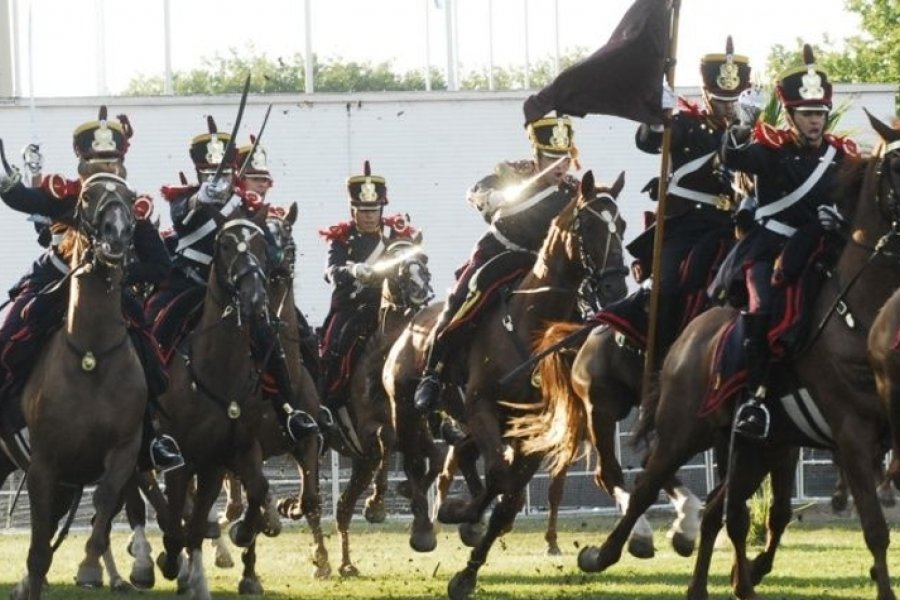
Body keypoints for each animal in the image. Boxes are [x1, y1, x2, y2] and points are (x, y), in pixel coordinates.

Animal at [153, 209, 282, 596]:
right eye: (224, 245)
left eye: (261, 244)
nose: (254, 298)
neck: (218, 367)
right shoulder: (180, 458)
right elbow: (178, 517)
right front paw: (173, 563)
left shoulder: (227, 454)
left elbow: (257, 489)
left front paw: (242, 532)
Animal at [328, 234, 434, 576]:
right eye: (397, 264)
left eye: (423, 262)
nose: (421, 289)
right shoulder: (368, 429)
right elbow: (387, 437)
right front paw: (376, 506)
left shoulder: (415, 432)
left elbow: (434, 455)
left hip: (362, 463)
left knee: (343, 509)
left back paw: (346, 564)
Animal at [414, 171, 628, 596]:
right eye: (589, 226)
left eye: (624, 226)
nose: (616, 289)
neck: (529, 321)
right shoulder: (480, 405)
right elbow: (499, 475)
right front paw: (460, 512)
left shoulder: (533, 433)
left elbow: (508, 497)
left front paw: (468, 570)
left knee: (466, 453)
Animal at [576, 109, 900, 600]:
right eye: (897, 166)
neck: (862, 313)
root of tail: (690, 337)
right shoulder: (851, 434)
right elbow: (875, 530)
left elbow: (774, 511)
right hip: (676, 428)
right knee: (645, 482)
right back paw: (610, 552)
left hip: (755, 445)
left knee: (716, 508)